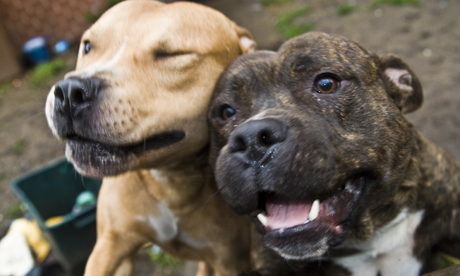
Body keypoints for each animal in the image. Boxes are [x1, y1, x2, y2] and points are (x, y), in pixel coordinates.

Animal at [44, 1, 255, 274]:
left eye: (173, 54)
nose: (69, 92)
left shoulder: (230, 262)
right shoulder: (112, 245)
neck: (168, 181)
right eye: (88, 46)